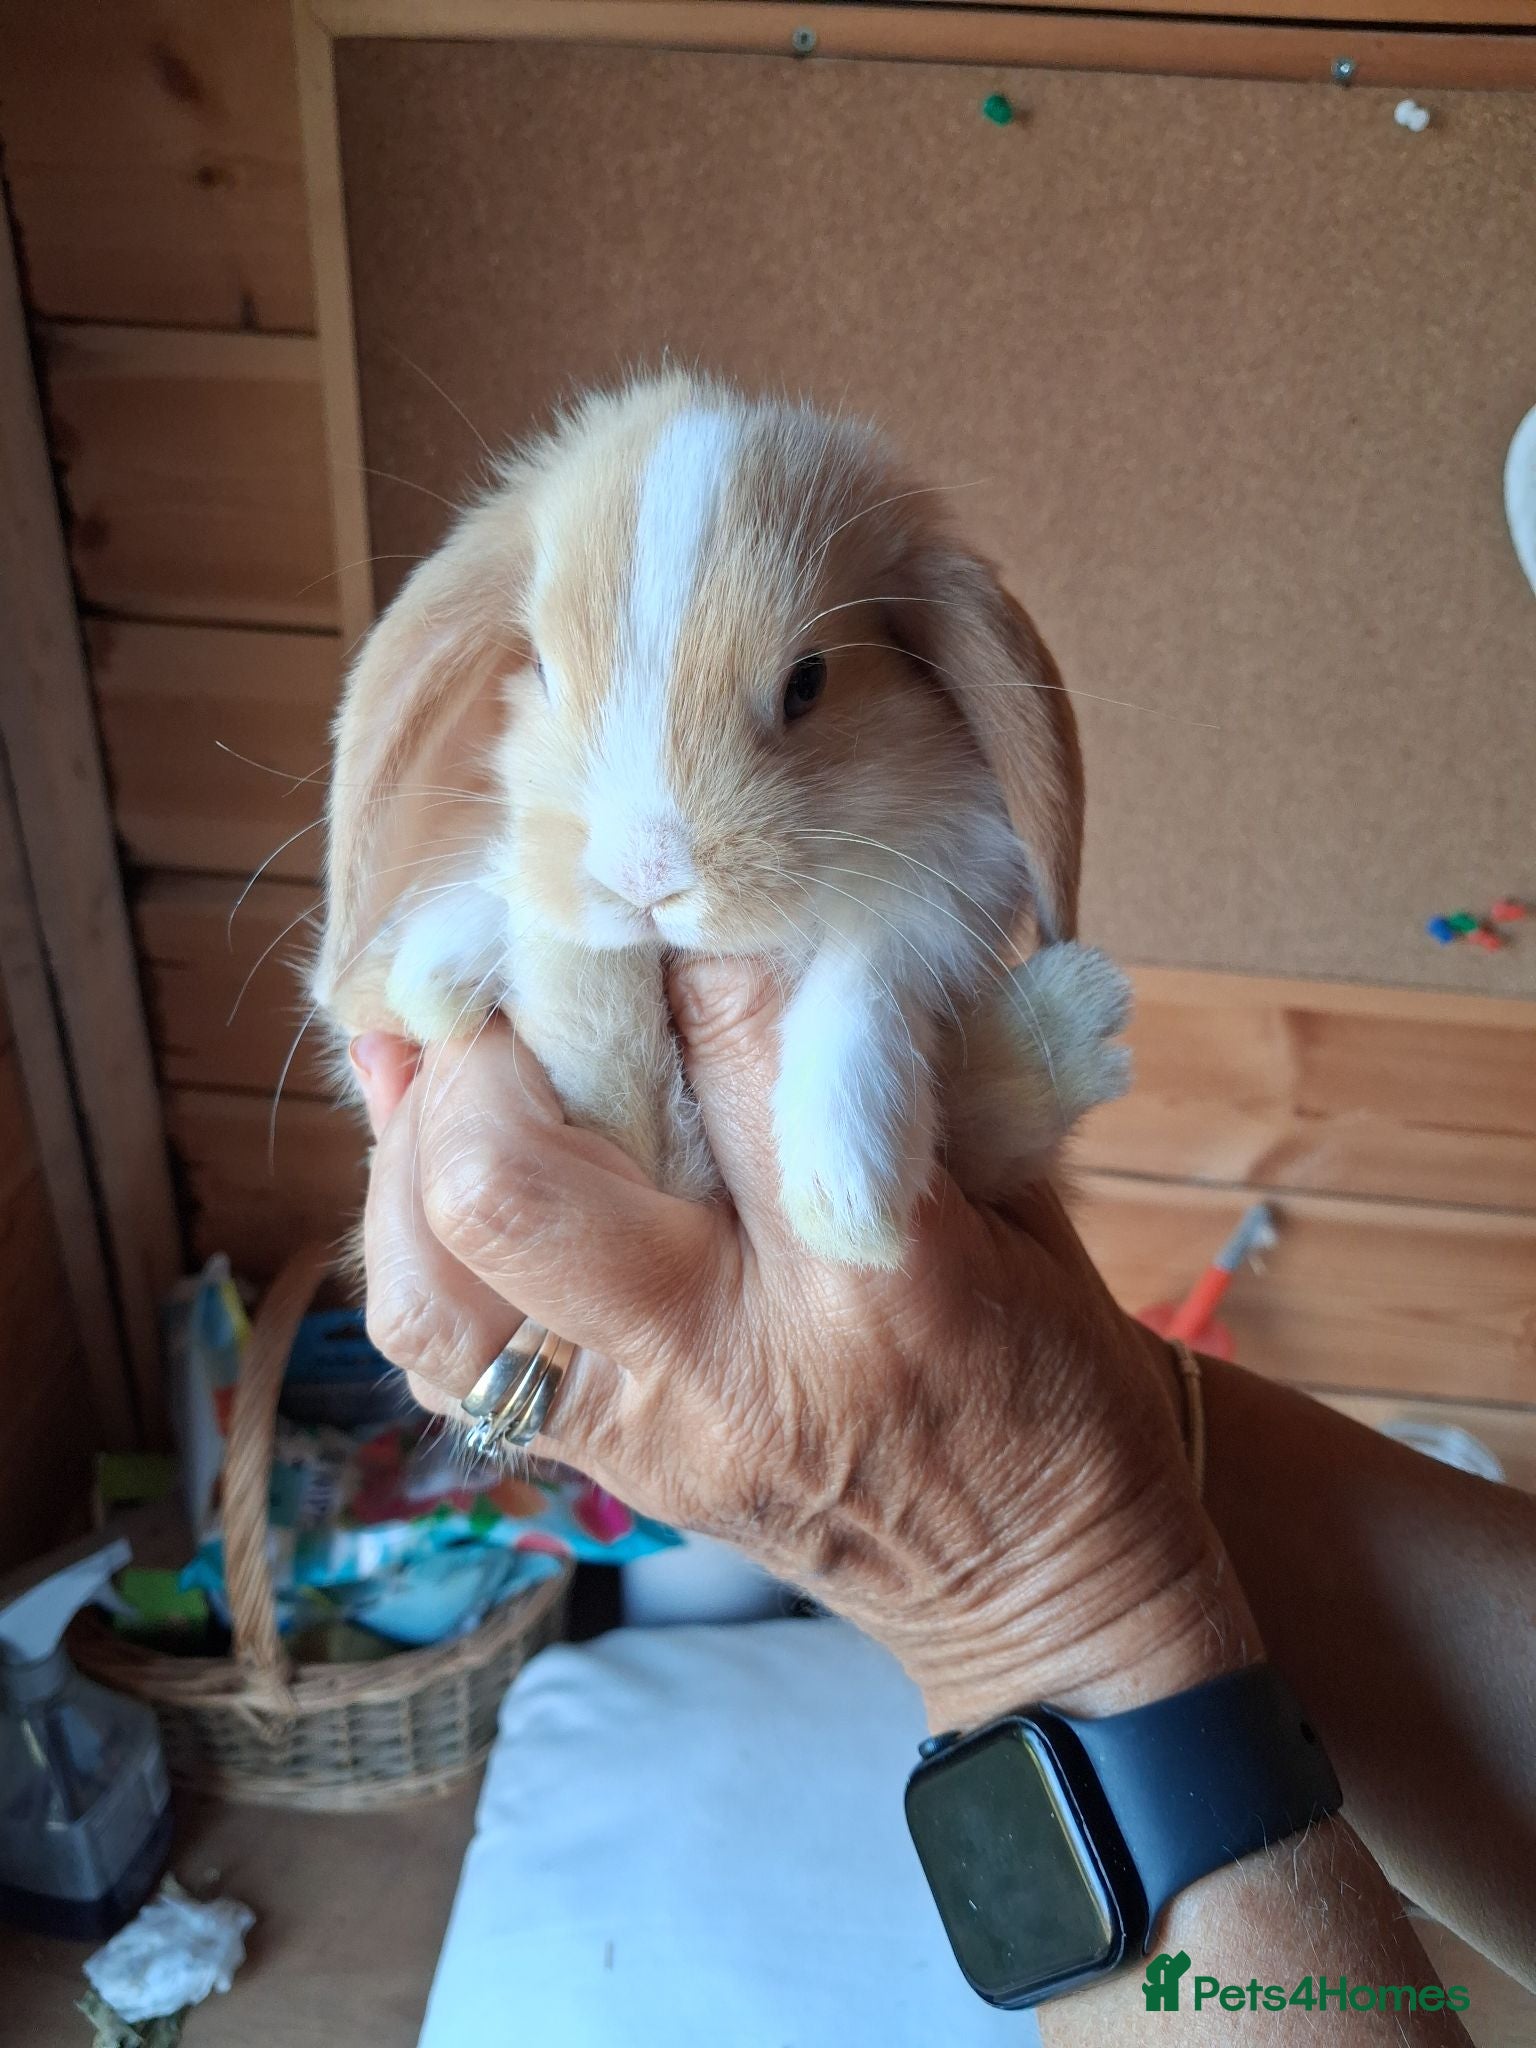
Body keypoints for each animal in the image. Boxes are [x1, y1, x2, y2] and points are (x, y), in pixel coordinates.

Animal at [315, 373, 1130, 1269]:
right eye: (539, 667)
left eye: (809, 681)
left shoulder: (954, 871)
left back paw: (1081, 1019)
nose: (646, 876)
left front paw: (850, 1198)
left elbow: (868, 963)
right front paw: (435, 971)